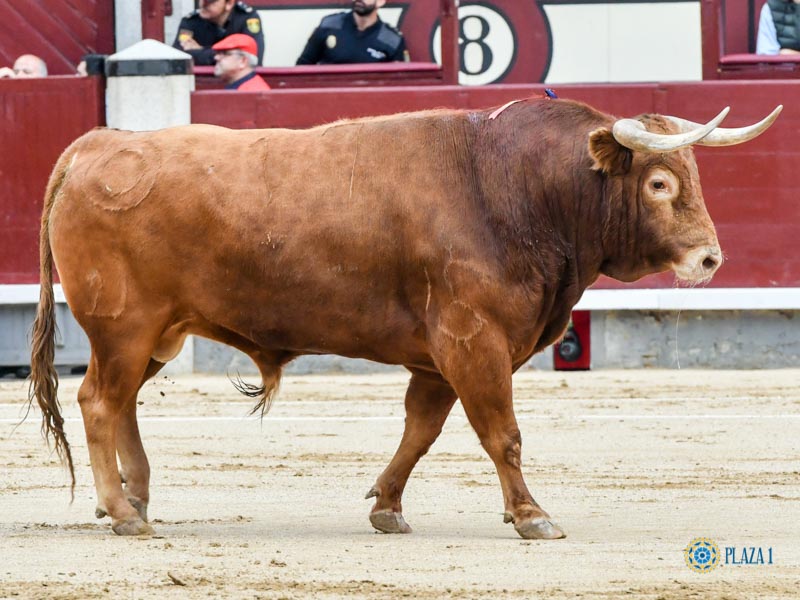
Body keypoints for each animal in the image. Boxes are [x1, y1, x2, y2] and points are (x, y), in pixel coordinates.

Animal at [28, 97, 780, 540]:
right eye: (659, 182)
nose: (710, 258)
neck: (514, 186)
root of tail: (95, 145)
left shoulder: (439, 357)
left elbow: (421, 432)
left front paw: (386, 507)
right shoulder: (474, 340)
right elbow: (502, 434)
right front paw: (532, 516)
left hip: (156, 333)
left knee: (123, 403)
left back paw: (135, 500)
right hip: (123, 327)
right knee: (99, 400)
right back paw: (123, 513)